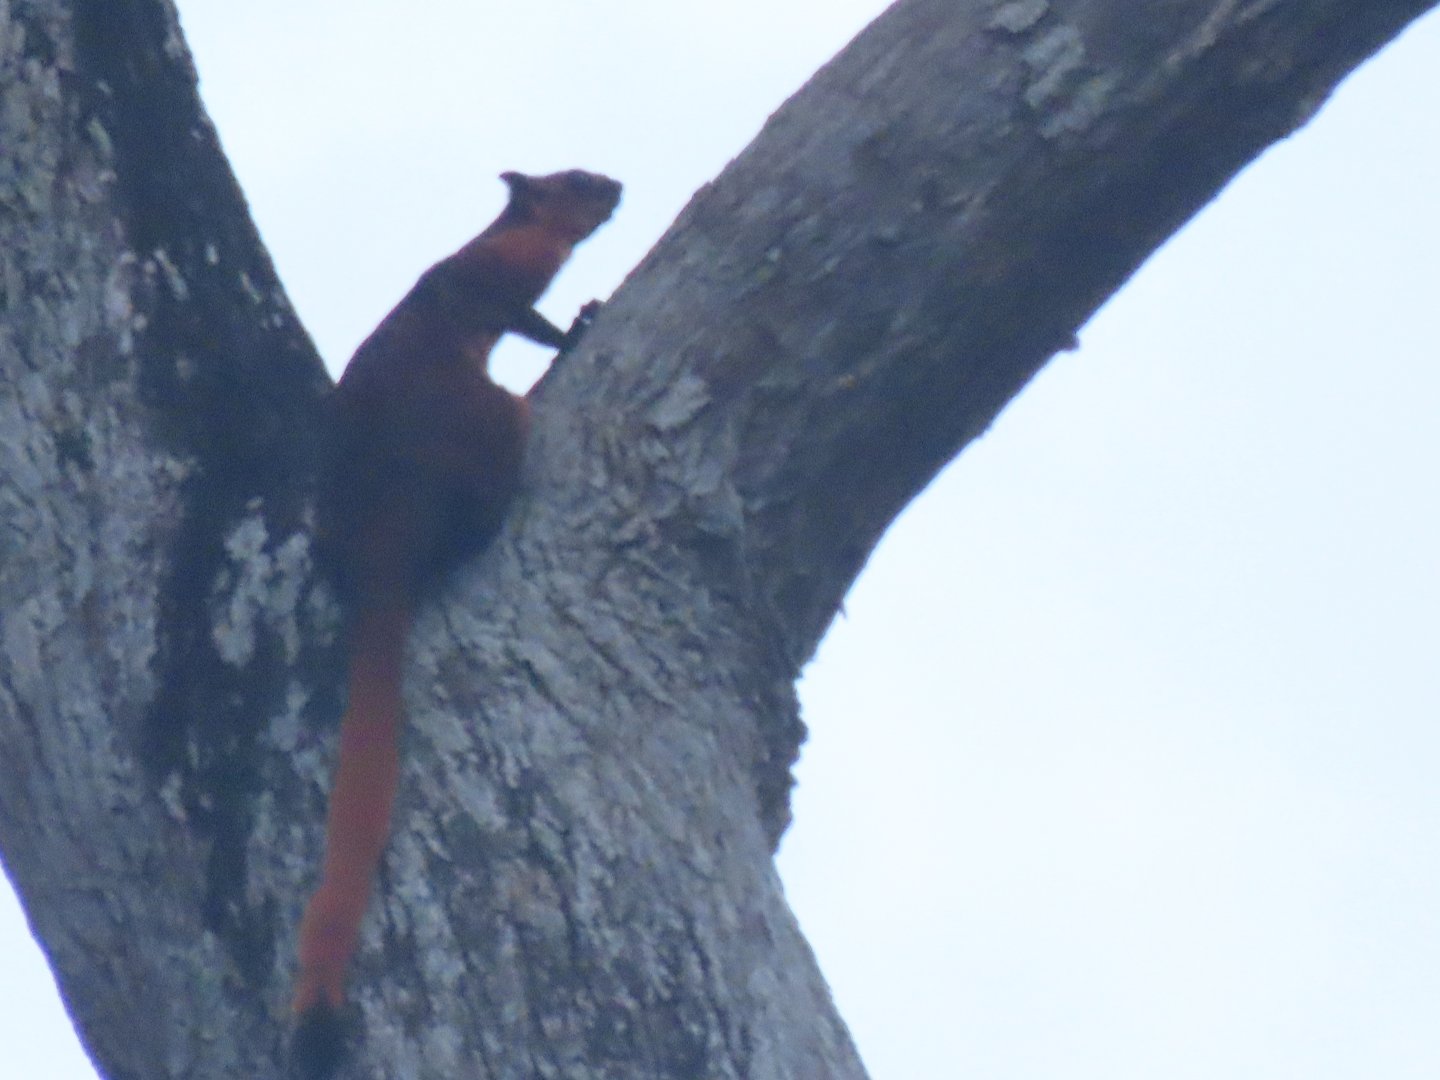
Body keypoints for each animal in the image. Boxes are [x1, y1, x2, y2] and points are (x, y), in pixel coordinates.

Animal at [291, 169, 622, 1076]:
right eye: (578, 183)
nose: (618, 187)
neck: (504, 231)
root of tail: (383, 542)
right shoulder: (495, 281)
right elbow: (524, 317)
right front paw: (578, 326)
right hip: (486, 420)